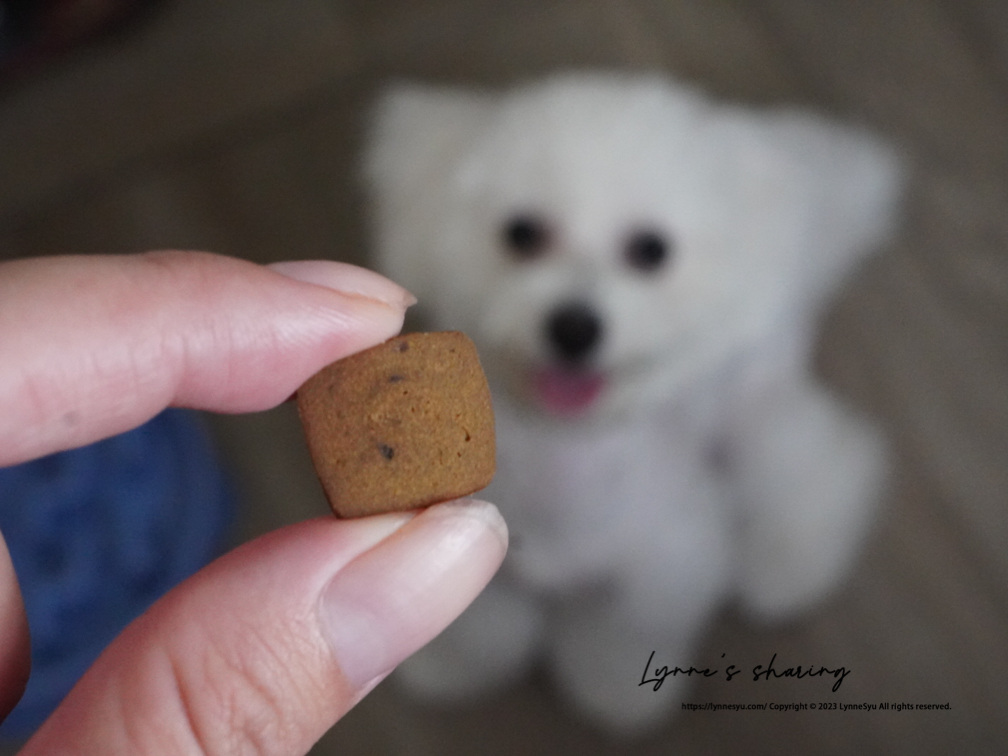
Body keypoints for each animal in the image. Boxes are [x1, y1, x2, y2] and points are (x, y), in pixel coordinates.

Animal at [362, 74, 899, 737]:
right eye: (521, 233)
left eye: (651, 249)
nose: (574, 327)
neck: (567, 460)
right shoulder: (481, 562)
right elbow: (476, 630)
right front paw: (451, 669)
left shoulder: (661, 573)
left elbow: (619, 644)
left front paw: (613, 697)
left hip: (748, 401)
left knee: (823, 458)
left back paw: (787, 568)